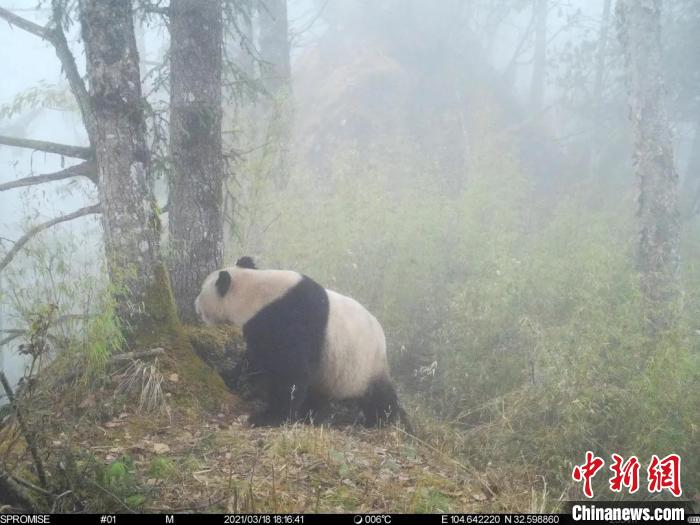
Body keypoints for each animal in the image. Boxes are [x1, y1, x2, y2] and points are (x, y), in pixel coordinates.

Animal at [193, 256, 410, 428]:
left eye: (201, 291)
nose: (195, 304)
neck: (255, 292)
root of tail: (383, 340)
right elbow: (254, 360)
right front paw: (228, 376)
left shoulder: (288, 319)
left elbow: (289, 371)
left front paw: (269, 417)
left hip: (363, 365)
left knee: (378, 396)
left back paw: (384, 419)